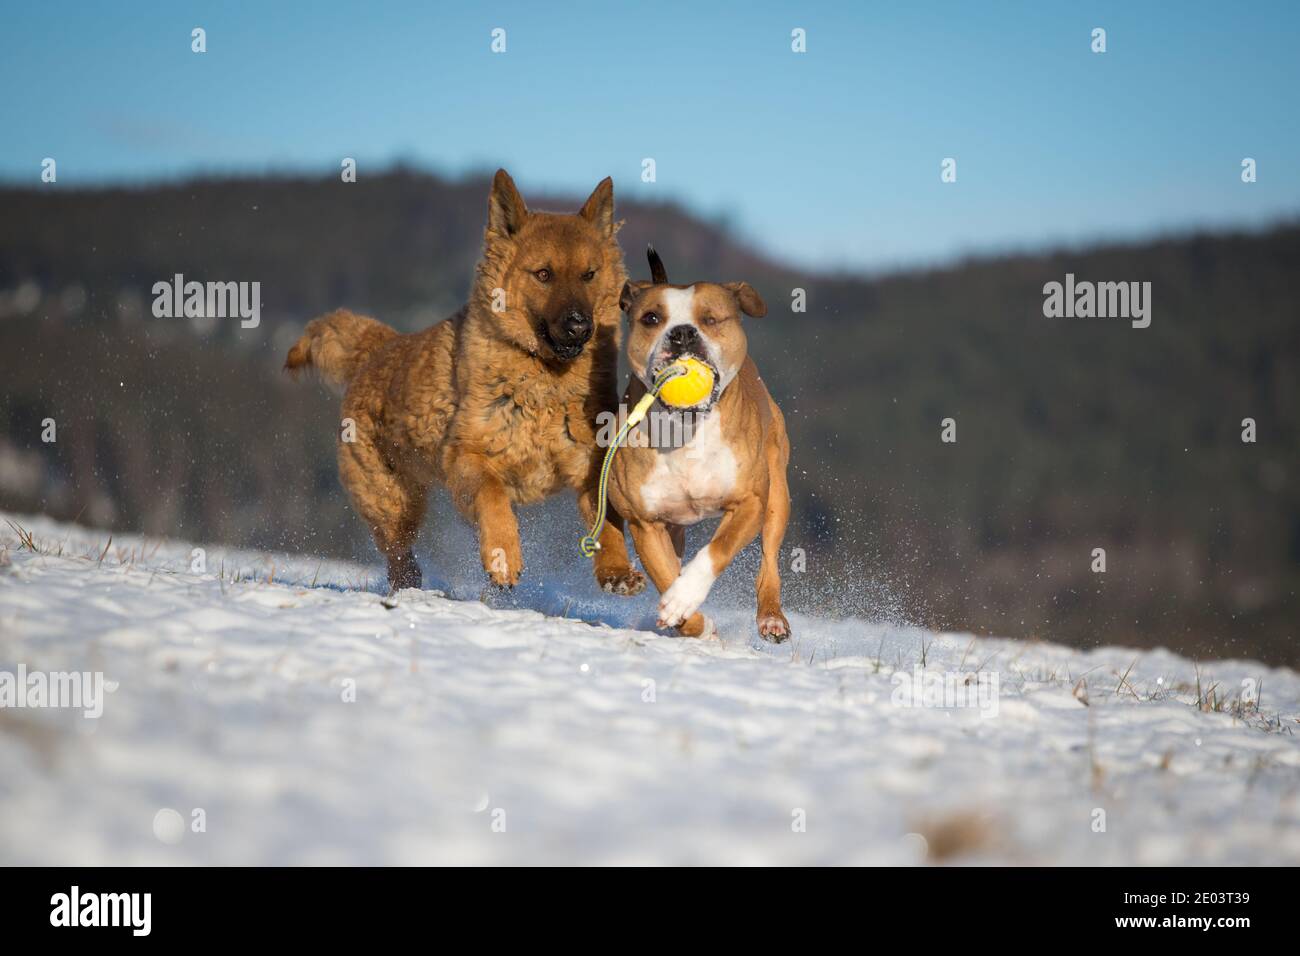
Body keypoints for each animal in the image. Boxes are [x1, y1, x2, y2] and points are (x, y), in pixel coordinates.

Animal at [287, 167, 647, 595]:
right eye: (543, 274)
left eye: (589, 275)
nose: (580, 326)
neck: (541, 376)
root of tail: (380, 346)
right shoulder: (467, 457)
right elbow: (492, 497)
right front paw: (503, 558)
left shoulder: (593, 467)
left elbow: (608, 525)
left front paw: (617, 571)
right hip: (390, 499)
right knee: (397, 553)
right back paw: (410, 584)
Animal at [608, 248, 790, 642]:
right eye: (651, 318)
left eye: (710, 319)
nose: (682, 334)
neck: (686, 429)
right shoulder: (646, 523)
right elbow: (665, 576)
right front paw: (692, 621)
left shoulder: (749, 502)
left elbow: (717, 550)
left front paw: (685, 595)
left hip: (777, 495)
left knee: (769, 557)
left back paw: (771, 617)